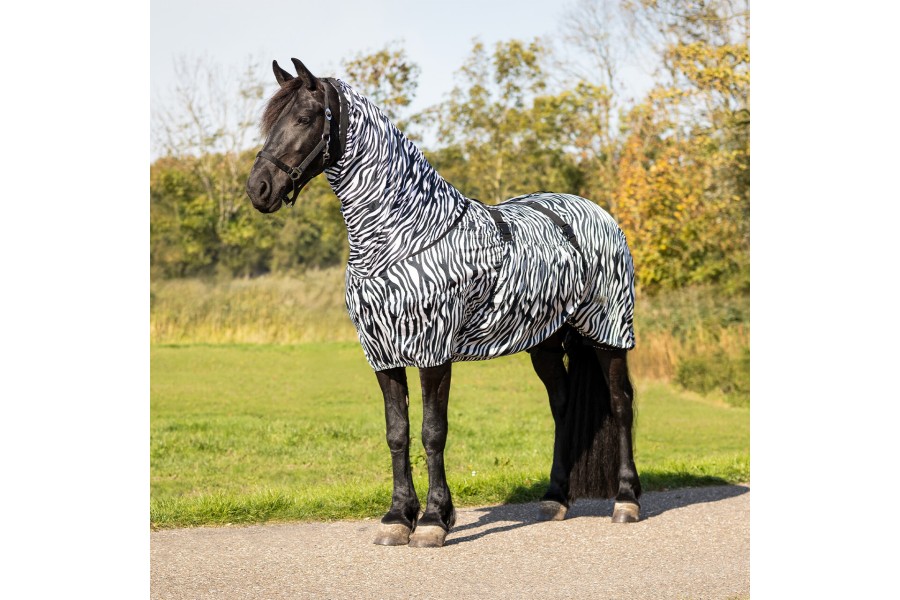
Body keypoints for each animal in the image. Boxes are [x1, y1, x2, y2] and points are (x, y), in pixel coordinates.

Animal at [246, 58, 641, 548]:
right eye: (270, 122)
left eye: (303, 118)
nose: (258, 189)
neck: (405, 234)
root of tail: (597, 213)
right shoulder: (382, 355)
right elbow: (397, 433)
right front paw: (398, 517)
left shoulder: (434, 352)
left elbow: (433, 432)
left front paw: (434, 520)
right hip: (547, 344)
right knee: (562, 406)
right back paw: (555, 498)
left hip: (609, 333)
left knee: (621, 404)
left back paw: (626, 500)